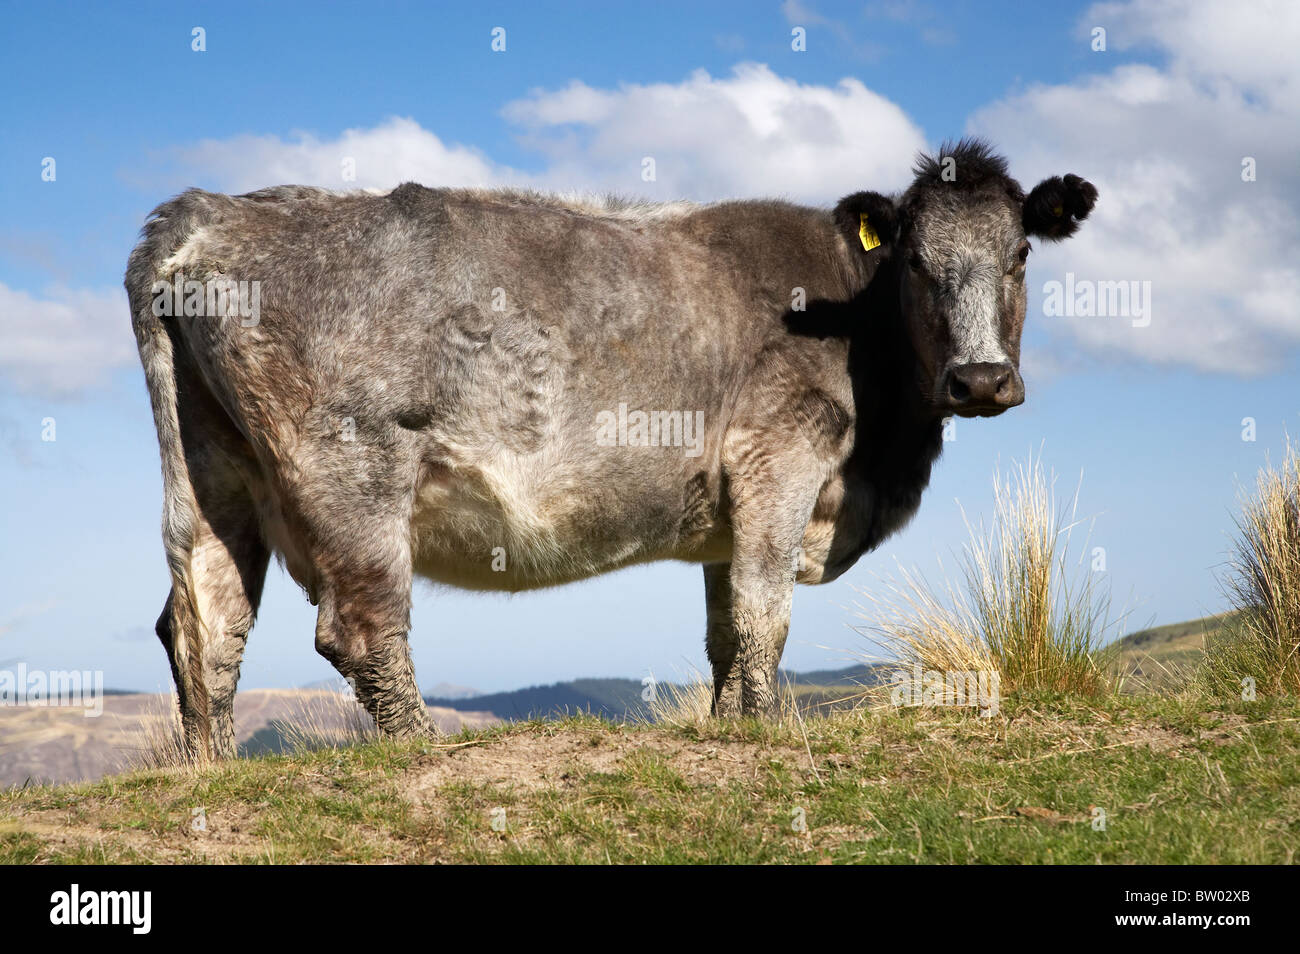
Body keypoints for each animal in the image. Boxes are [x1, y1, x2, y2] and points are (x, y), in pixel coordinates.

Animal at [126, 138, 1096, 760]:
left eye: (1020, 253)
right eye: (918, 262)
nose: (980, 380)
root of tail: (207, 211)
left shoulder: (727, 511)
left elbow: (724, 629)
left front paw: (726, 723)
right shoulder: (782, 454)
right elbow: (765, 612)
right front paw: (759, 733)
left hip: (211, 469)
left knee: (203, 619)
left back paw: (209, 771)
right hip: (353, 469)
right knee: (359, 626)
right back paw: (420, 748)